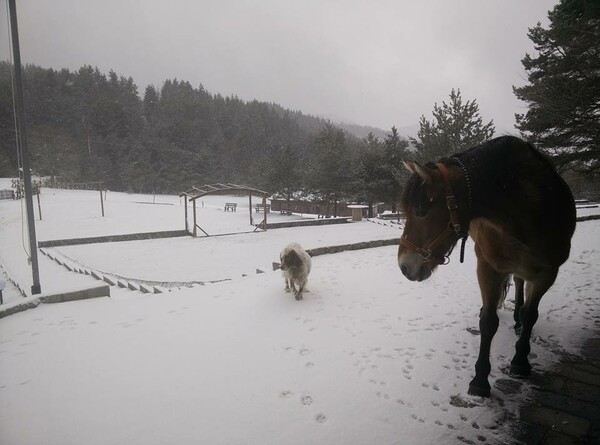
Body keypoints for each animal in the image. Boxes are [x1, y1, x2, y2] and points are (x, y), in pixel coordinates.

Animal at [398, 135, 576, 396]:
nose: (404, 266)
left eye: (422, 208)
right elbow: (489, 322)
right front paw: (480, 379)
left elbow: (531, 314)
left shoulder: (547, 273)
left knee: (520, 285)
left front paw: (520, 362)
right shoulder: (489, 267)